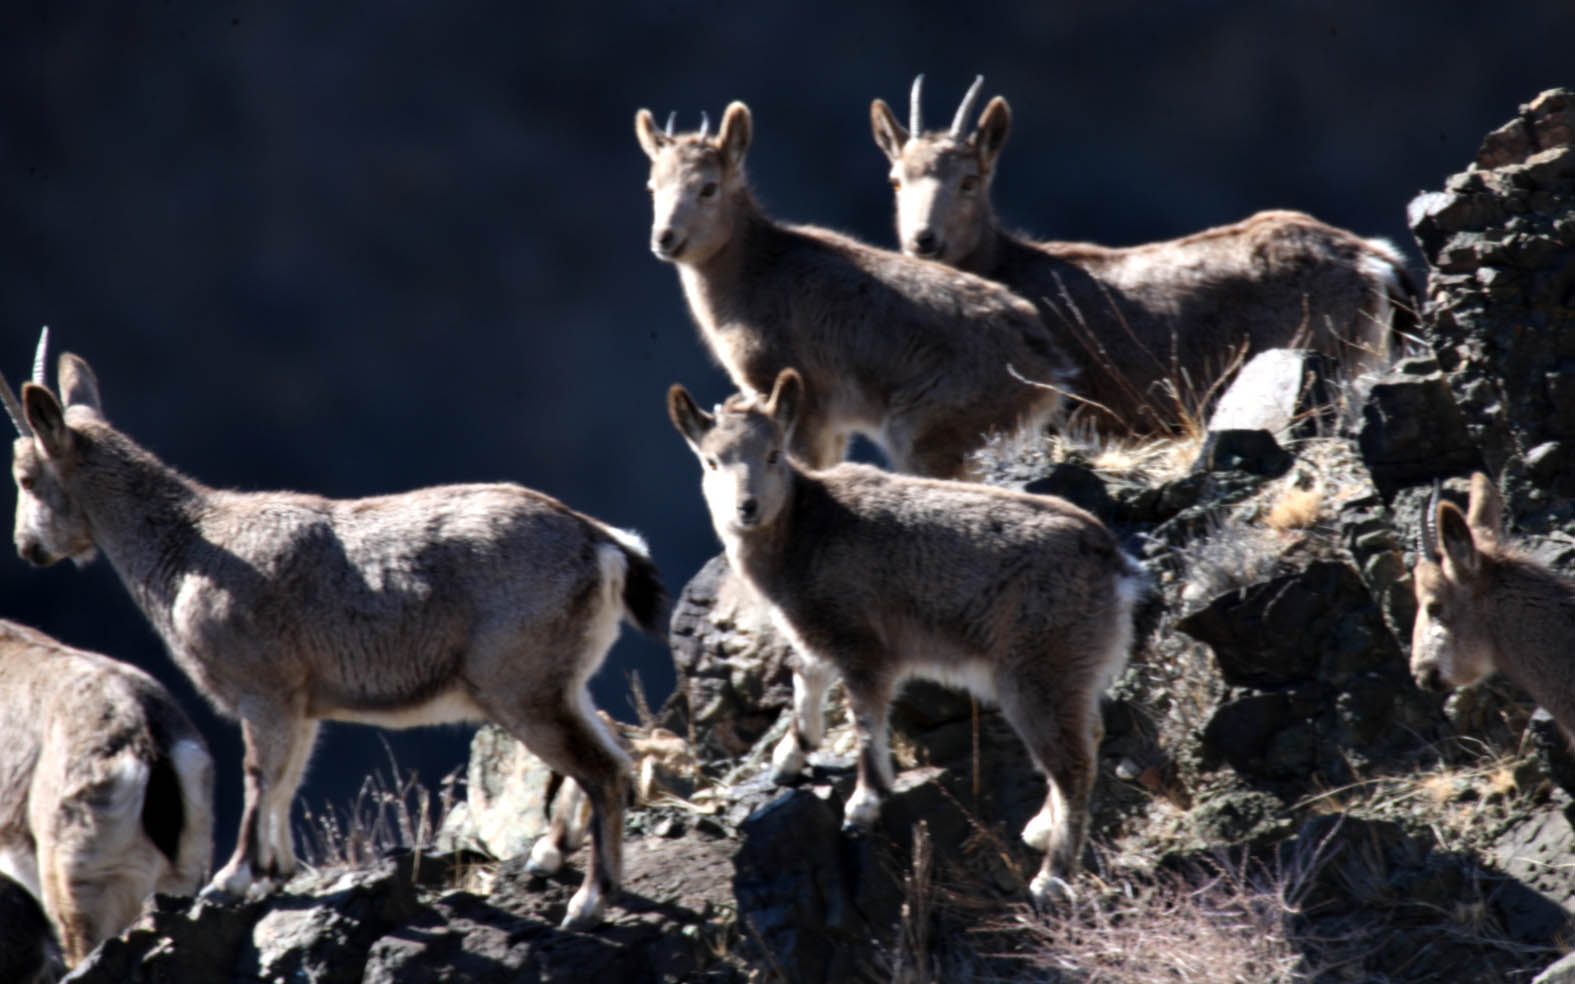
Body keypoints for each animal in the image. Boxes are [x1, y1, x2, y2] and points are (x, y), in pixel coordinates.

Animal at [1, 332, 664, 925]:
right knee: (613, 744)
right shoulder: (304, 701)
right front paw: (275, 873)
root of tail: (604, 546)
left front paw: (230, 880)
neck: (190, 550)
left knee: (604, 769)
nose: (29, 548)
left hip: (520, 684)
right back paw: (550, 856)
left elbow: (259, 776)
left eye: (26, 478)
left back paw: (588, 901)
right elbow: (287, 780)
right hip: (559, 679)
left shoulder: (264, 688)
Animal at [636, 100, 1071, 478]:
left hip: (925, 433)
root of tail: (1044, 360)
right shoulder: (831, 424)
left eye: (708, 187)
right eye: (652, 187)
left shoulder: (796, 398)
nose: (665, 238)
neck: (752, 270)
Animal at [664, 368, 1146, 906]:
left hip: (1038, 672)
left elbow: (865, 721)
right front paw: (790, 756)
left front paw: (863, 804)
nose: (746, 508)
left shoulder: (864, 648)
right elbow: (806, 678)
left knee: (1072, 765)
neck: (803, 535)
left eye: (773, 454)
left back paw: (1051, 877)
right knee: (1088, 739)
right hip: (1073, 672)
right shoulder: (819, 633)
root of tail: (1116, 568)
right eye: (711, 461)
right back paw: (1041, 828)